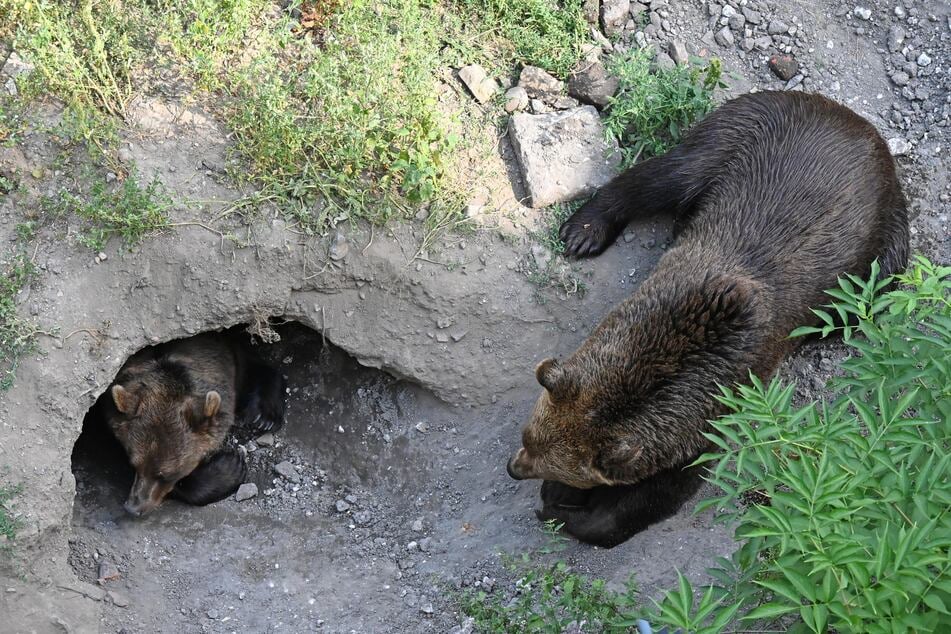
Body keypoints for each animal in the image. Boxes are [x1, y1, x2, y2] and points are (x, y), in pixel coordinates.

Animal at [93, 330, 286, 512]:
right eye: (134, 464)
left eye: (167, 474)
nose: (134, 507)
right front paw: (229, 467)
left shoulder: (233, 359)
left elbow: (257, 366)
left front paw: (262, 419)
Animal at [510, 91, 912, 544]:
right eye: (529, 437)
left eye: (543, 457)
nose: (514, 467)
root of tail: (862, 126)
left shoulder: (718, 409)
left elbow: (654, 496)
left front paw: (565, 507)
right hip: (742, 136)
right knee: (664, 176)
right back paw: (585, 229)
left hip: (879, 258)